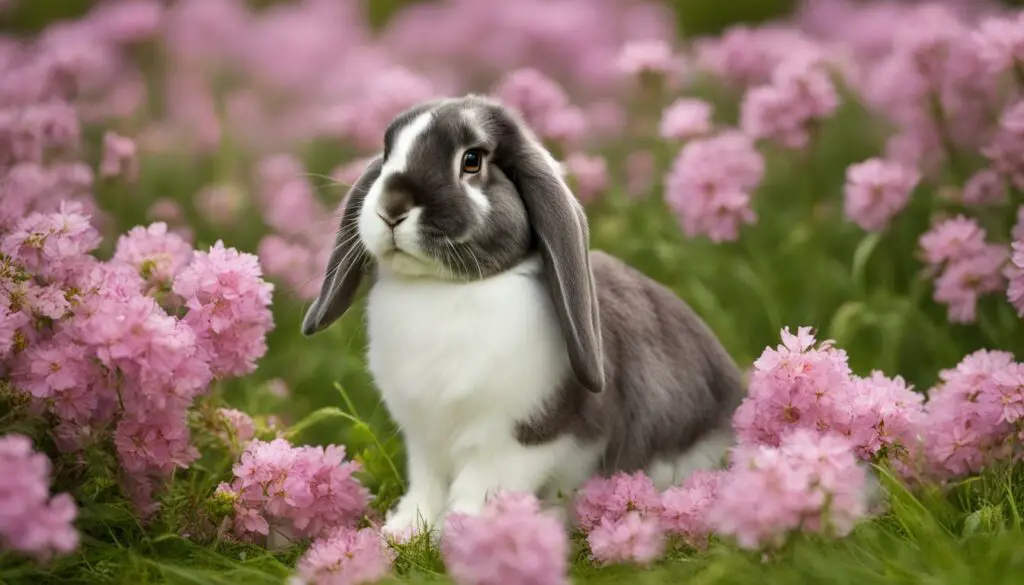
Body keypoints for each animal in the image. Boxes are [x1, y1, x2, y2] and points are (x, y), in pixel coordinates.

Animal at [301, 96, 745, 540]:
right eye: (388, 151)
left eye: (472, 160)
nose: (391, 207)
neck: (443, 288)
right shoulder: (423, 441)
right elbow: (427, 488)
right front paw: (403, 532)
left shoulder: (518, 439)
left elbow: (479, 487)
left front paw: (467, 534)